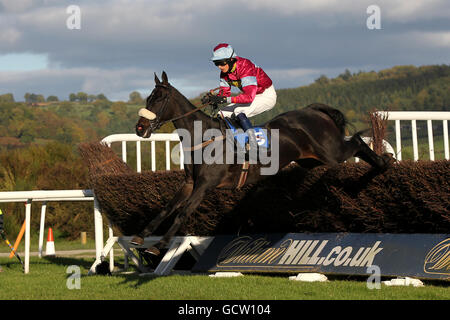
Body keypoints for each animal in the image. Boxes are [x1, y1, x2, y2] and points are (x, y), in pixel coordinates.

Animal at [129, 70, 390, 255]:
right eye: (147, 98)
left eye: (159, 99)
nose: (140, 128)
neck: (203, 137)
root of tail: (313, 110)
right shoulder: (189, 183)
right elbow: (167, 208)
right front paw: (141, 236)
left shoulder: (205, 185)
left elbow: (183, 212)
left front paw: (158, 245)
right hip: (310, 160)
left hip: (331, 152)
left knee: (356, 141)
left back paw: (384, 163)